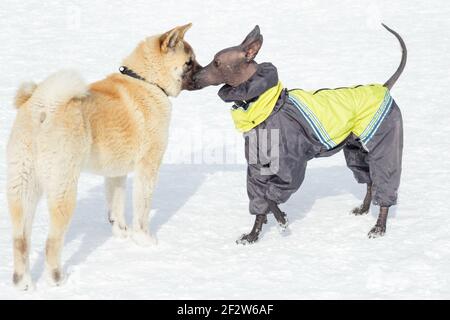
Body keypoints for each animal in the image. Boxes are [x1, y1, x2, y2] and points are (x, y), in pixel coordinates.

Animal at [6, 23, 200, 288]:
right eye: (189, 62)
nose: (205, 72)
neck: (147, 81)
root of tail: (44, 107)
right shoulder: (147, 166)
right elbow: (142, 209)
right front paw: (144, 240)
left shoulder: (116, 173)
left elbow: (115, 207)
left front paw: (121, 233)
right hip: (63, 188)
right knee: (51, 242)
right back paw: (57, 279)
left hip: (22, 187)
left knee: (20, 240)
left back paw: (23, 283)